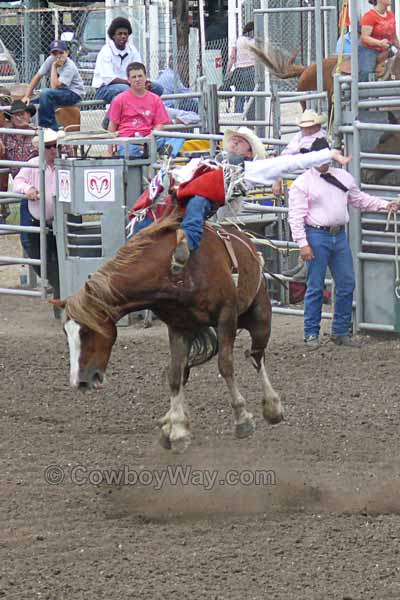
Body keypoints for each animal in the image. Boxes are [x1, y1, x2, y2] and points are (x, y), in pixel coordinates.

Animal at [54, 218, 284, 452]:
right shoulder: (179, 326)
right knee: (187, 371)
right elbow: (174, 374)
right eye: (65, 332)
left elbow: (225, 365)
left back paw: (273, 407)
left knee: (256, 355)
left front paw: (242, 418)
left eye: (87, 331)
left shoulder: (226, 316)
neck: (172, 273)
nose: (79, 382)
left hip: (258, 317)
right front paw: (178, 428)